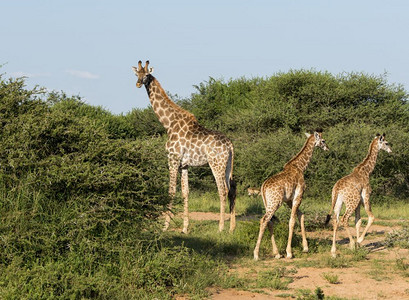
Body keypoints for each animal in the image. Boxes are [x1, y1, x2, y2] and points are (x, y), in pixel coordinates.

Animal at [132, 61, 236, 234]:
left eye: (146, 74)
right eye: (136, 74)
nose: (138, 83)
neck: (168, 124)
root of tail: (230, 145)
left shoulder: (172, 159)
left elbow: (171, 191)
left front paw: (165, 226)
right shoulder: (184, 165)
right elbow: (185, 193)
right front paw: (185, 228)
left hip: (216, 164)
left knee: (222, 190)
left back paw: (221, 227)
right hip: (228, 165)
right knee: (232, 189)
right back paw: (232, 228)